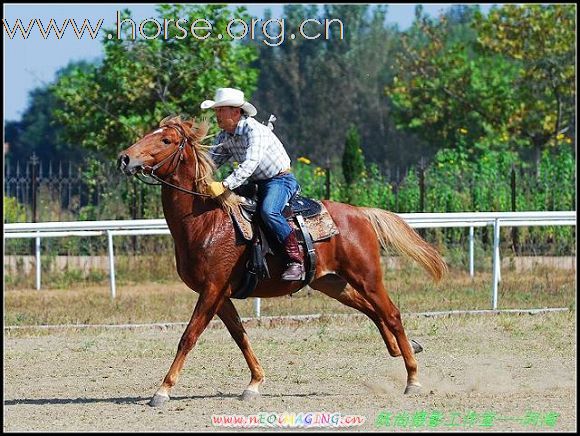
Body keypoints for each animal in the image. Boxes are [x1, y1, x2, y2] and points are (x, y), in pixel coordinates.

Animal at [115, 115, 446, 406]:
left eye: (166, 140)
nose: (125, 159)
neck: (204, 221)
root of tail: (360, 213)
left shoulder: (212, 289)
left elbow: (189, 336)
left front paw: (162, 390)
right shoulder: (220, 295)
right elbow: (240, 335)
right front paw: (254, 383)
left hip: (368, 276)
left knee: (391, 314)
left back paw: (413, 379)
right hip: (332, 283)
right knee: (372, 312)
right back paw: (405, 349)